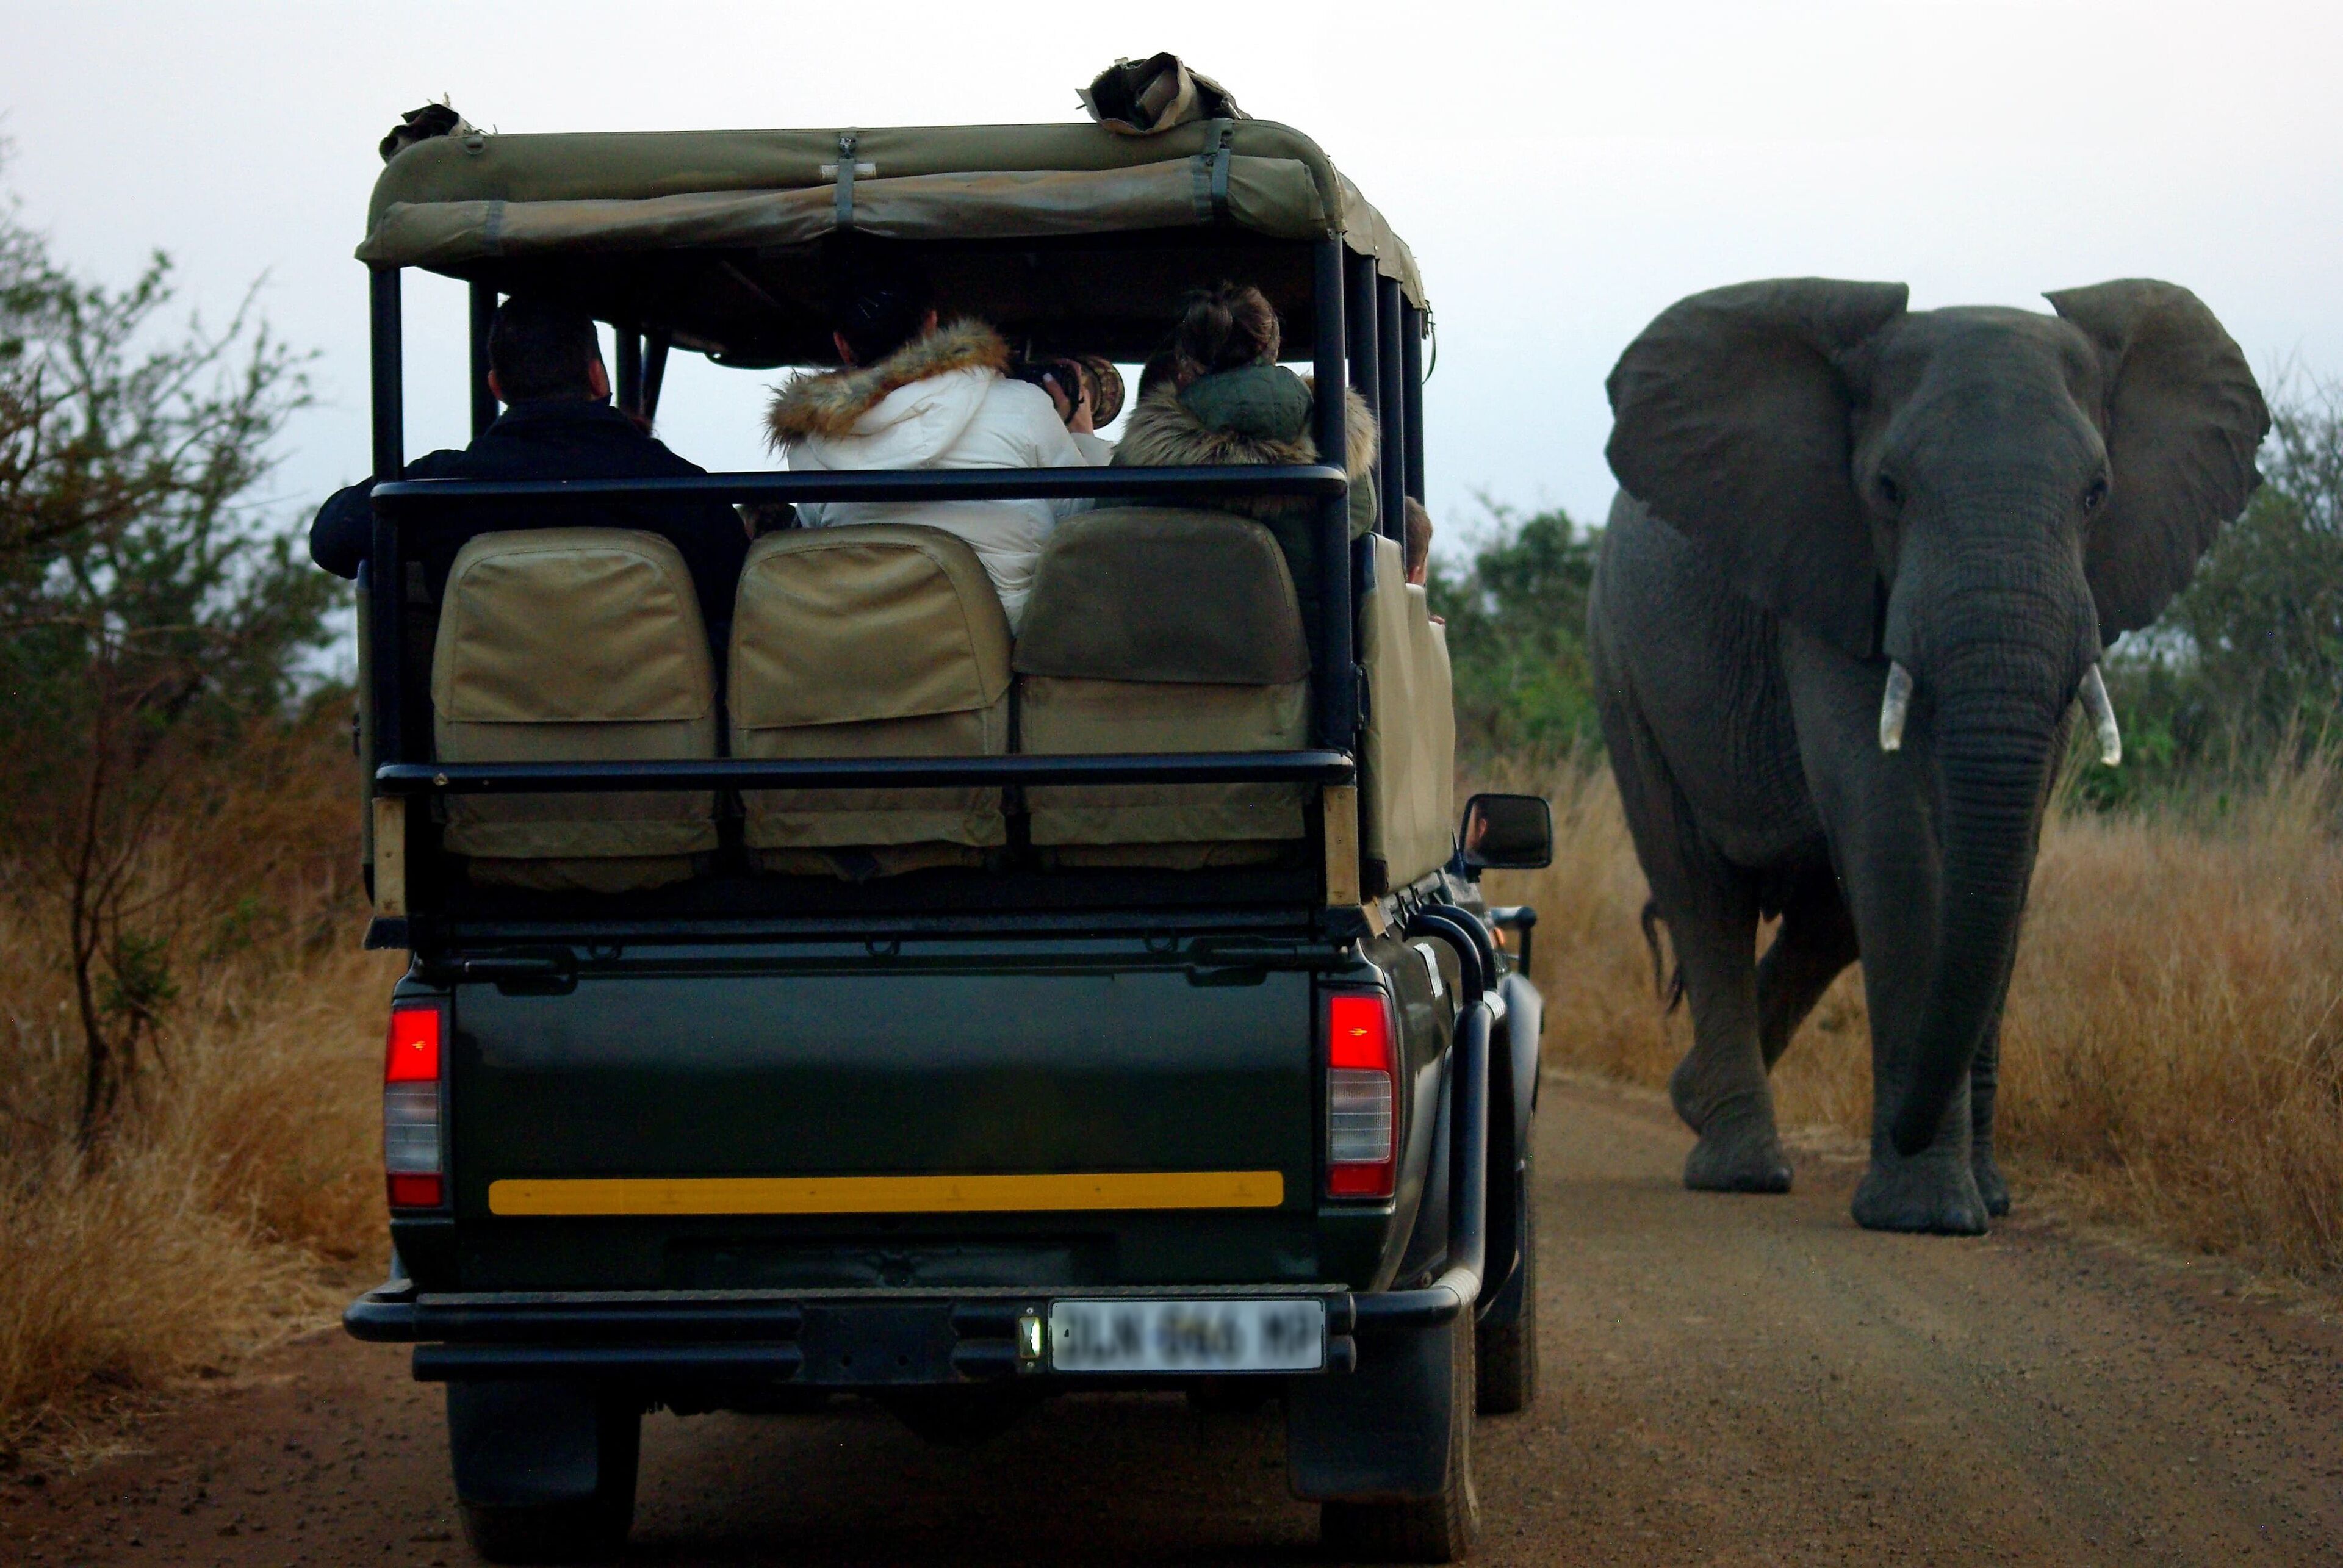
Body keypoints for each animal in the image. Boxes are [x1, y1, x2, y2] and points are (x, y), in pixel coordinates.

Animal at [1588, 277, 2267, 1234]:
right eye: (1888, 489)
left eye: (2097, 493)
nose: (1913, 1125)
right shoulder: (1831, 570)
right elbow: (1896, 831)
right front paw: (1928, 1213)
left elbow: (2008, 859)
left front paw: (1987, 1199)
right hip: (1621, 668)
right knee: (1701, 890)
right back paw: (1741, 1168)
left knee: (1826, 916)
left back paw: (1691, 1101)